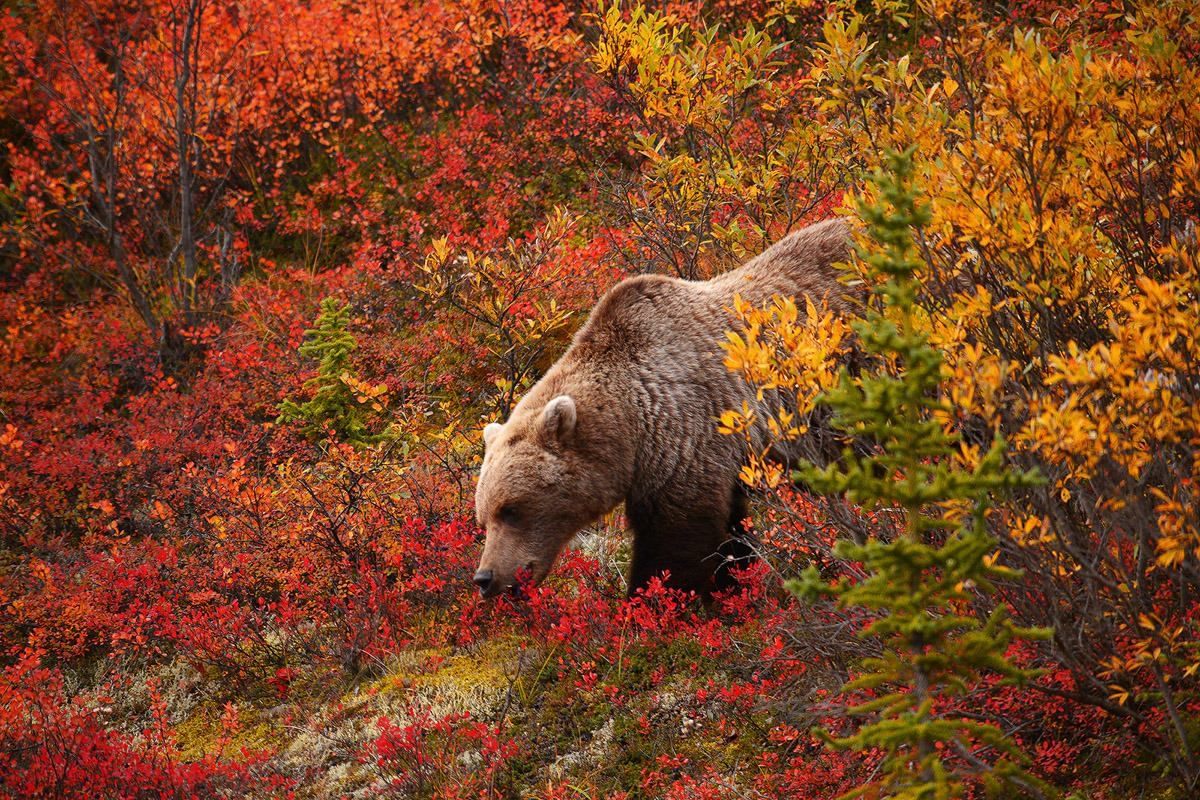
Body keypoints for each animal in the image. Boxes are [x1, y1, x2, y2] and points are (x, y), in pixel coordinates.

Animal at [468, 215, 854, 597]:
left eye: (512, 509)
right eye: (483, 517)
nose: (485, 578)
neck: (631, 424)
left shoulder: (686, 435)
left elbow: (675, 546)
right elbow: (731, 537)